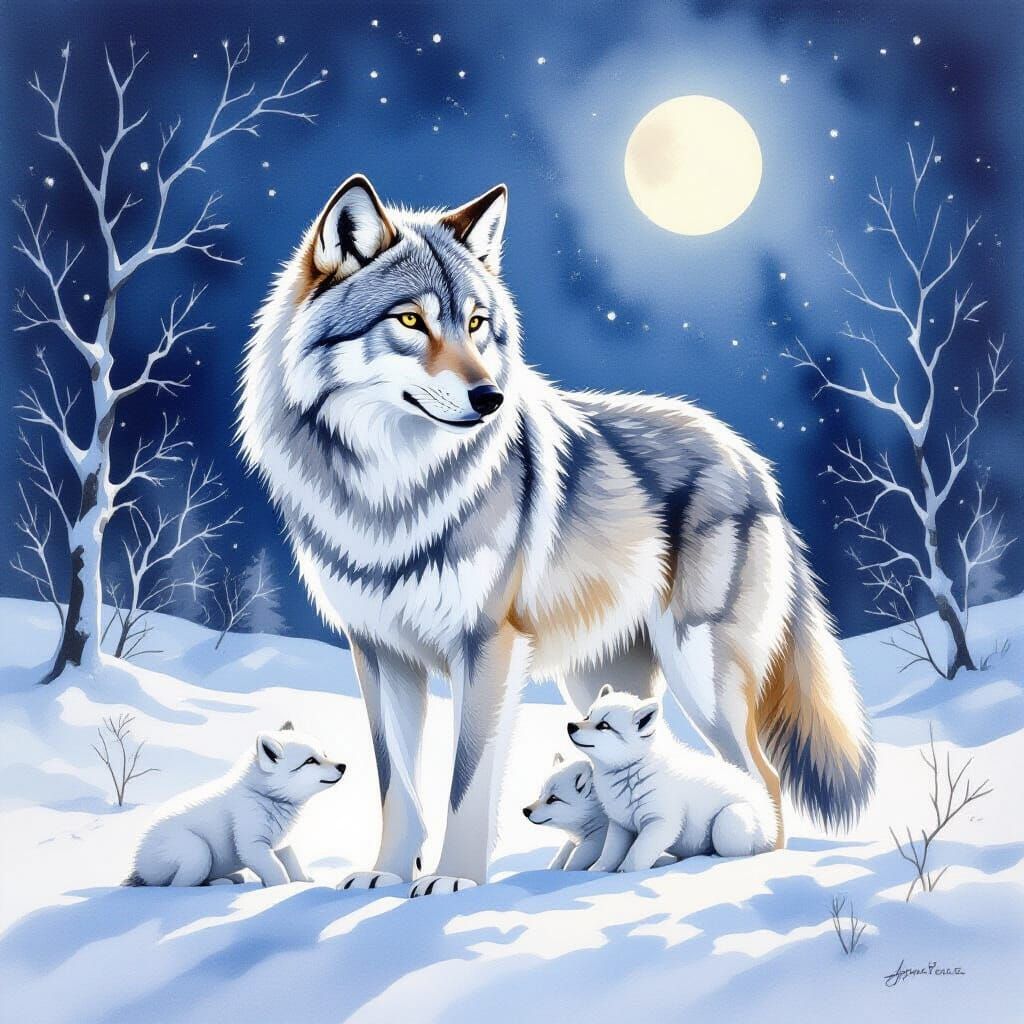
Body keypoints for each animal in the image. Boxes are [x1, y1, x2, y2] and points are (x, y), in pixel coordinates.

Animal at [124, 723, 345, 887]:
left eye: (324, 754)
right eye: (310, 761)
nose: (342, 766)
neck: (265, 796)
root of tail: (138, 866)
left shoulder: (282, 843)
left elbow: (292, 862)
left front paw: (302, 882)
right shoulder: (252, 844)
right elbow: (276, 870)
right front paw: (279, 889)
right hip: (198, 852)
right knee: (178, 885)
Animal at [570, 686, 776, 871]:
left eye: (604, 725)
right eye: (587, 716)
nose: (571, 725)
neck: (633, 770)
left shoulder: (661, 822)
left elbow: (636, 856)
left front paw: (624, 873)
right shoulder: (620, 824)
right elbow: (609, 854)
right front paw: (596, 871)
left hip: (728, 820)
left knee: (737, 851)